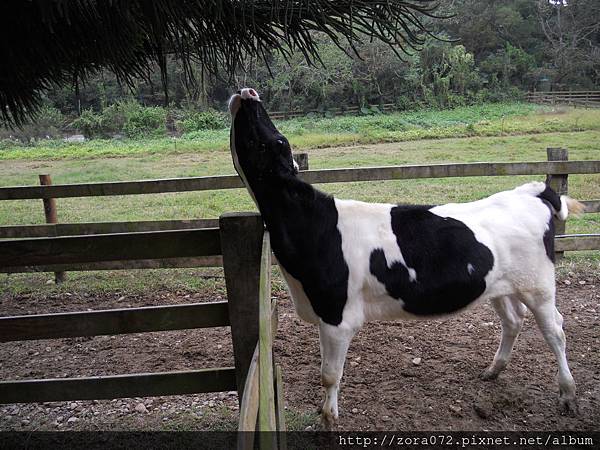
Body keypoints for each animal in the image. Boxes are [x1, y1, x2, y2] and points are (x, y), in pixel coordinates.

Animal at [227, 88, 584, 428]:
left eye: (278, 141)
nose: (248, 91)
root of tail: (530, 191)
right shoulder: (323, 311)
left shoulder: (339, 317)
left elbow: (329, 375)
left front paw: (328, 419)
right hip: (499, 285)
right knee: (513, 321)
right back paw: (494, 370)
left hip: (538, 287)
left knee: (556, 330)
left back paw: (567, 394)